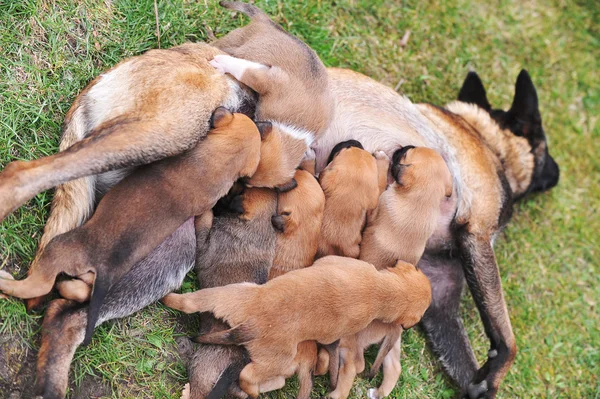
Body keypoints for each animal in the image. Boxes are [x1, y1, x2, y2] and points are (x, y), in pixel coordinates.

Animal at [211, 0, 336, 188]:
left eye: (246, 180)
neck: (293, 128)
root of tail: (267, 22)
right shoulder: (269, 81)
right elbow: (243, 70)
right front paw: (222, 63)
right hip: (234, 41)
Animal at [330, 146, 452, 399]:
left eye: (406, 155)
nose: (402, 147)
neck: (420, 204)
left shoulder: (376, 207)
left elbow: (379, 186)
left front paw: (382, 160)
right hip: (392, 345)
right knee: (394, 367)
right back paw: (378, 392)